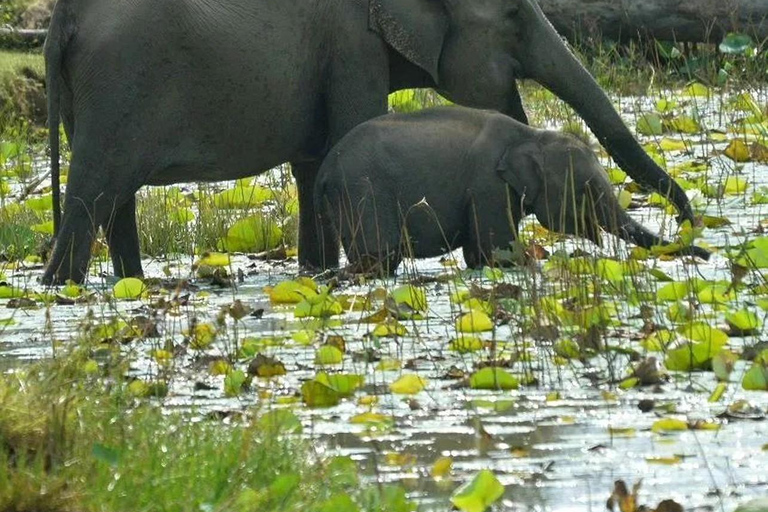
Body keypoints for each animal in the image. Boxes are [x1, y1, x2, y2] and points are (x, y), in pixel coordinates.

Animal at [314, 105, 708, 270]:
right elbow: (499, 253)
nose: (705, 252)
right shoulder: (487, 186)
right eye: (586, 189)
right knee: (381, 256)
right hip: (364, 190)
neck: (531, 135)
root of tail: (324, 169)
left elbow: (480, 257)